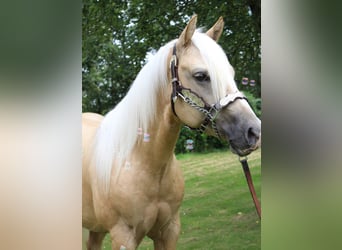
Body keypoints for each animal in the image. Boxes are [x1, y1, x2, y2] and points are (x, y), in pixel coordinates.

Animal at [83, 15, 260, 248]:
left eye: (231, 74)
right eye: (201, 75)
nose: (253, 131)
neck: (142, 162)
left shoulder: (169, 231)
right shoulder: (123, 237)